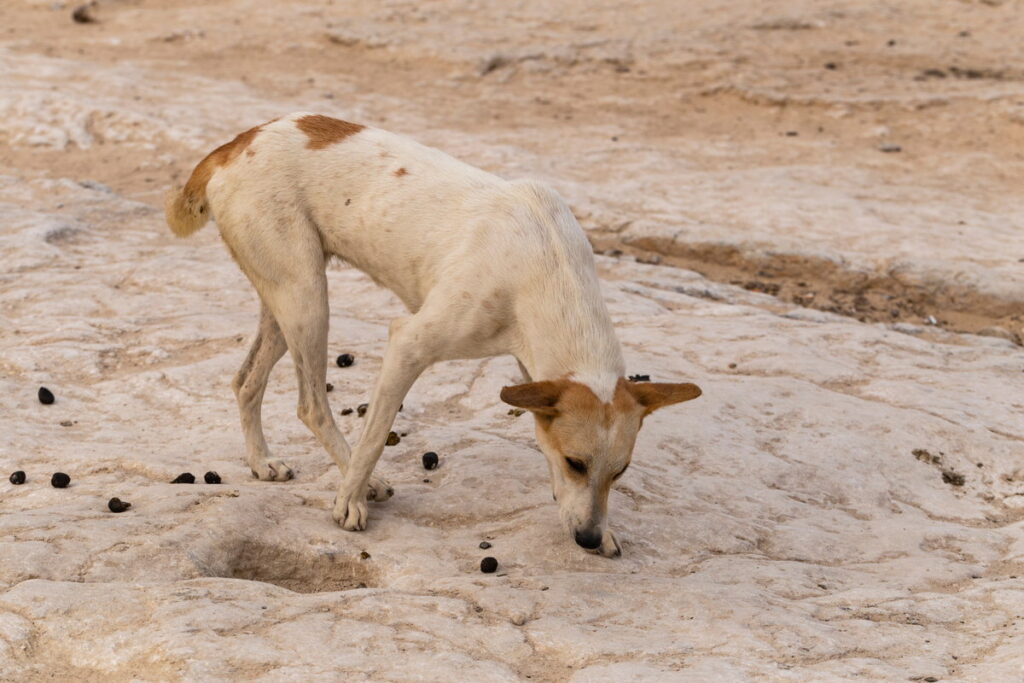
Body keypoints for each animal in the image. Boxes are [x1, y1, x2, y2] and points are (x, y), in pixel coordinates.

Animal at [163, 112, 704, 557]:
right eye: (575, 463)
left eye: (620, 472)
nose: (589, 540)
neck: (546, 264)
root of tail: (236, 142)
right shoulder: (408, 342)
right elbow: (375, 435)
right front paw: (349, 501)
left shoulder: (533, 366)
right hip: (307, 298)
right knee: (311, 404)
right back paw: (359, 484)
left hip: (282, 303)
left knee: (246, 382)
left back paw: (261, 461)